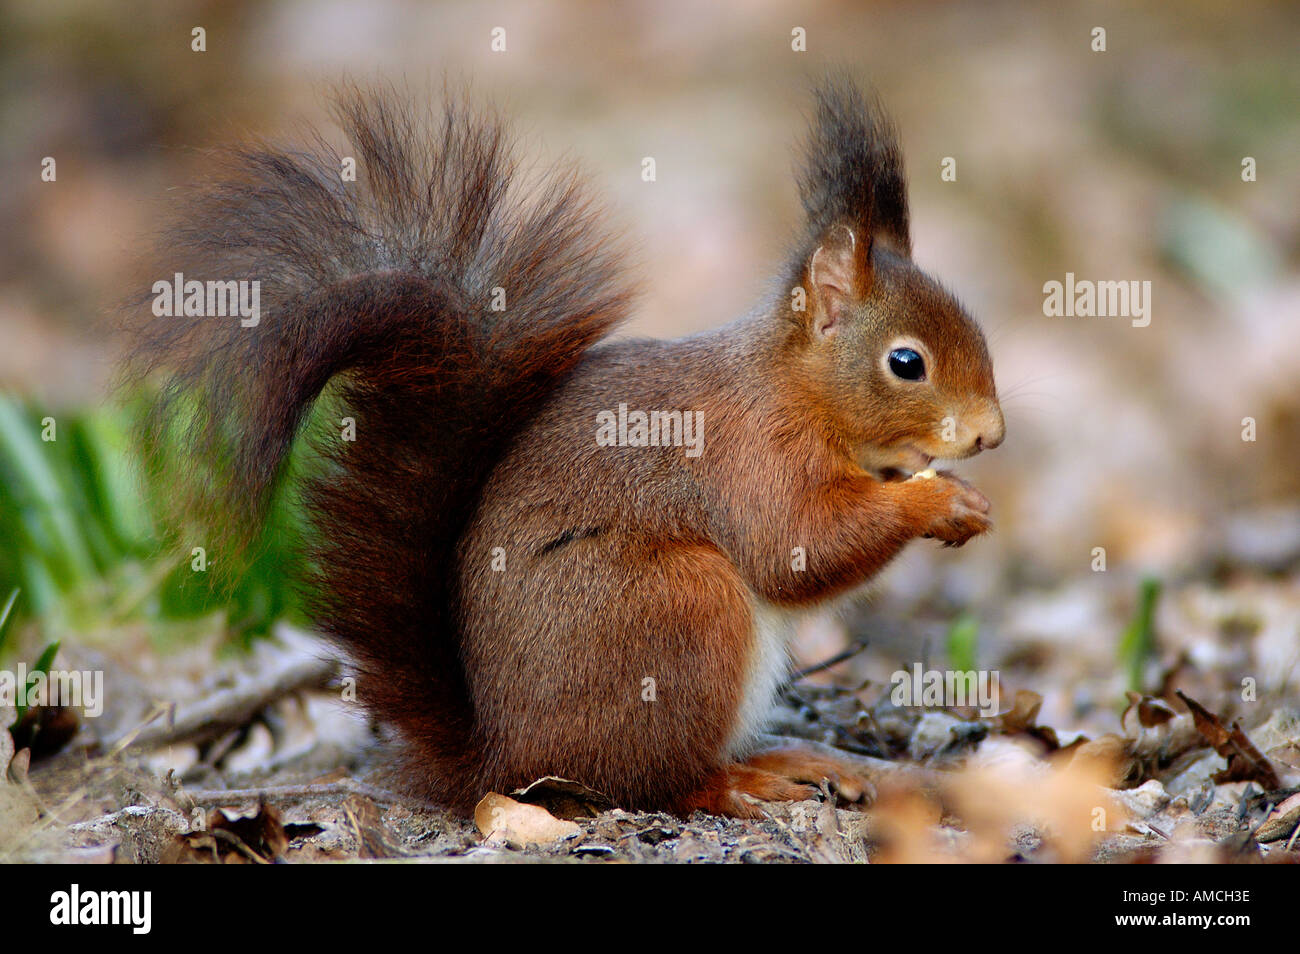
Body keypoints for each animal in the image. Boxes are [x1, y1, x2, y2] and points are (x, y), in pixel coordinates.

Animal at [129, 78, 1003, 816]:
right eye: (906, 363)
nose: (991, 434)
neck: (795, 387)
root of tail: (500, 758)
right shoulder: (753, 452)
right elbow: (797, 547)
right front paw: (936, 500)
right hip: (677, 612)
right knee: (657, 782)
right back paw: (738, 785)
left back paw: (789, 761)